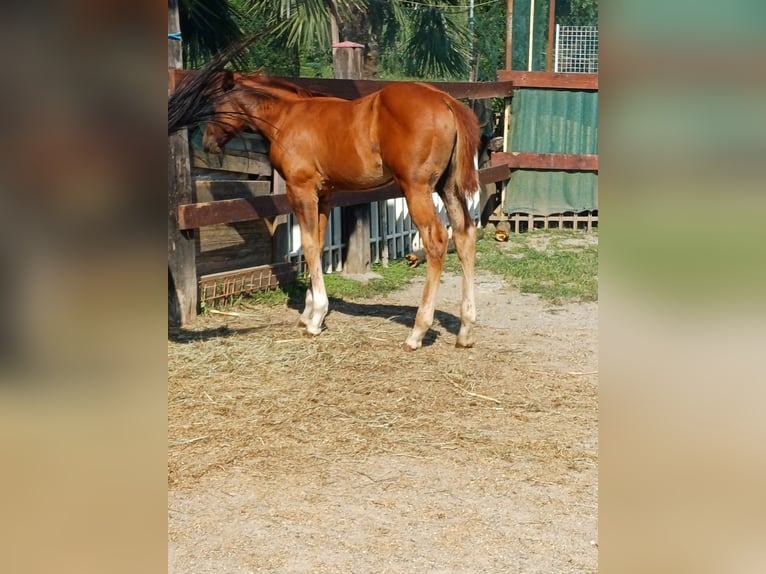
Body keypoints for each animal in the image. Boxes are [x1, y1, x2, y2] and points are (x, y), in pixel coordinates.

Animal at [204, 72, 480, 352]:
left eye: (214, 106)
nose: (207, 143)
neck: (286, 116)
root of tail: (446, 100)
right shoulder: (325, 195)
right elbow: (318, 245)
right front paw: (309, 313)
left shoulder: (301, 189)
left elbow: (308, 245)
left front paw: (316, 318)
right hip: (448, 187)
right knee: (464, 235)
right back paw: (465, 330)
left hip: (417, 188)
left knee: (436, 240)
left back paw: (417, 332)